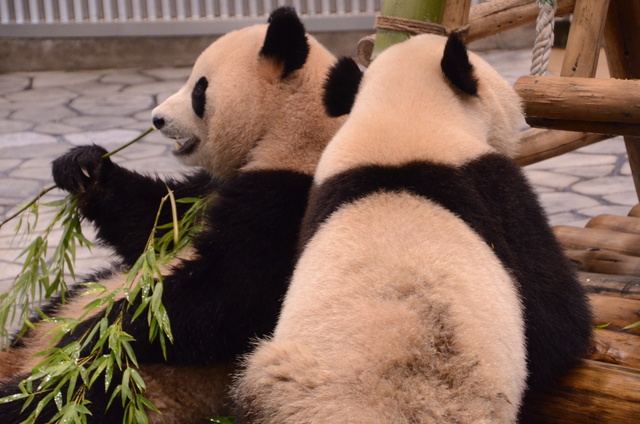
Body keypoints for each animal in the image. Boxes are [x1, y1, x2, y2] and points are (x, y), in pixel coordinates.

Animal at [0, 7, 344, 424]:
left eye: (199, 89)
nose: (156, 119)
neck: (289, 130)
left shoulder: (291, 201)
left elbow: (228, 296)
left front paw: (89, 333)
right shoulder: (208, 189)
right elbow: (155, 221)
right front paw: (84, 167)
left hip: (137, 385)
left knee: (48, 397)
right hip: (78, 295)